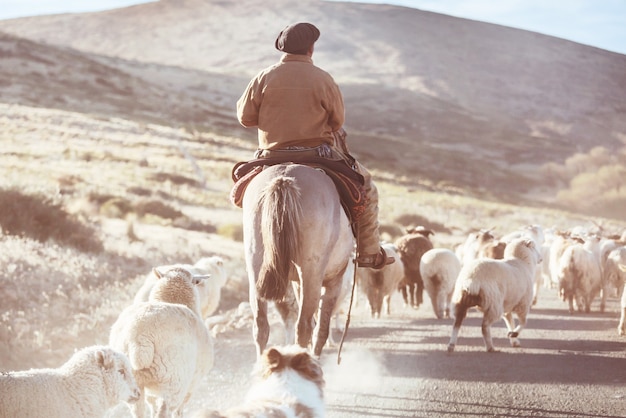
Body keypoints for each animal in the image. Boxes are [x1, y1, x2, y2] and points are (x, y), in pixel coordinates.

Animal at [112, 268, 217, 418]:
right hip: (174, 379)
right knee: (164, 410)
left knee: (139, 410)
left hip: (131, 379)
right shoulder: (192, 383)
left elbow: (152, 405)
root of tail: (139, 337)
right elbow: (179, 408)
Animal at [241, 162, 354, 356]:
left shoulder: (297, 283)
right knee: (305, 326)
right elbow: (321, 329)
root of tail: (284, 179)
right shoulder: (334, 281)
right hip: (312, 273)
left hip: (256, 264)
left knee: (261, 326)